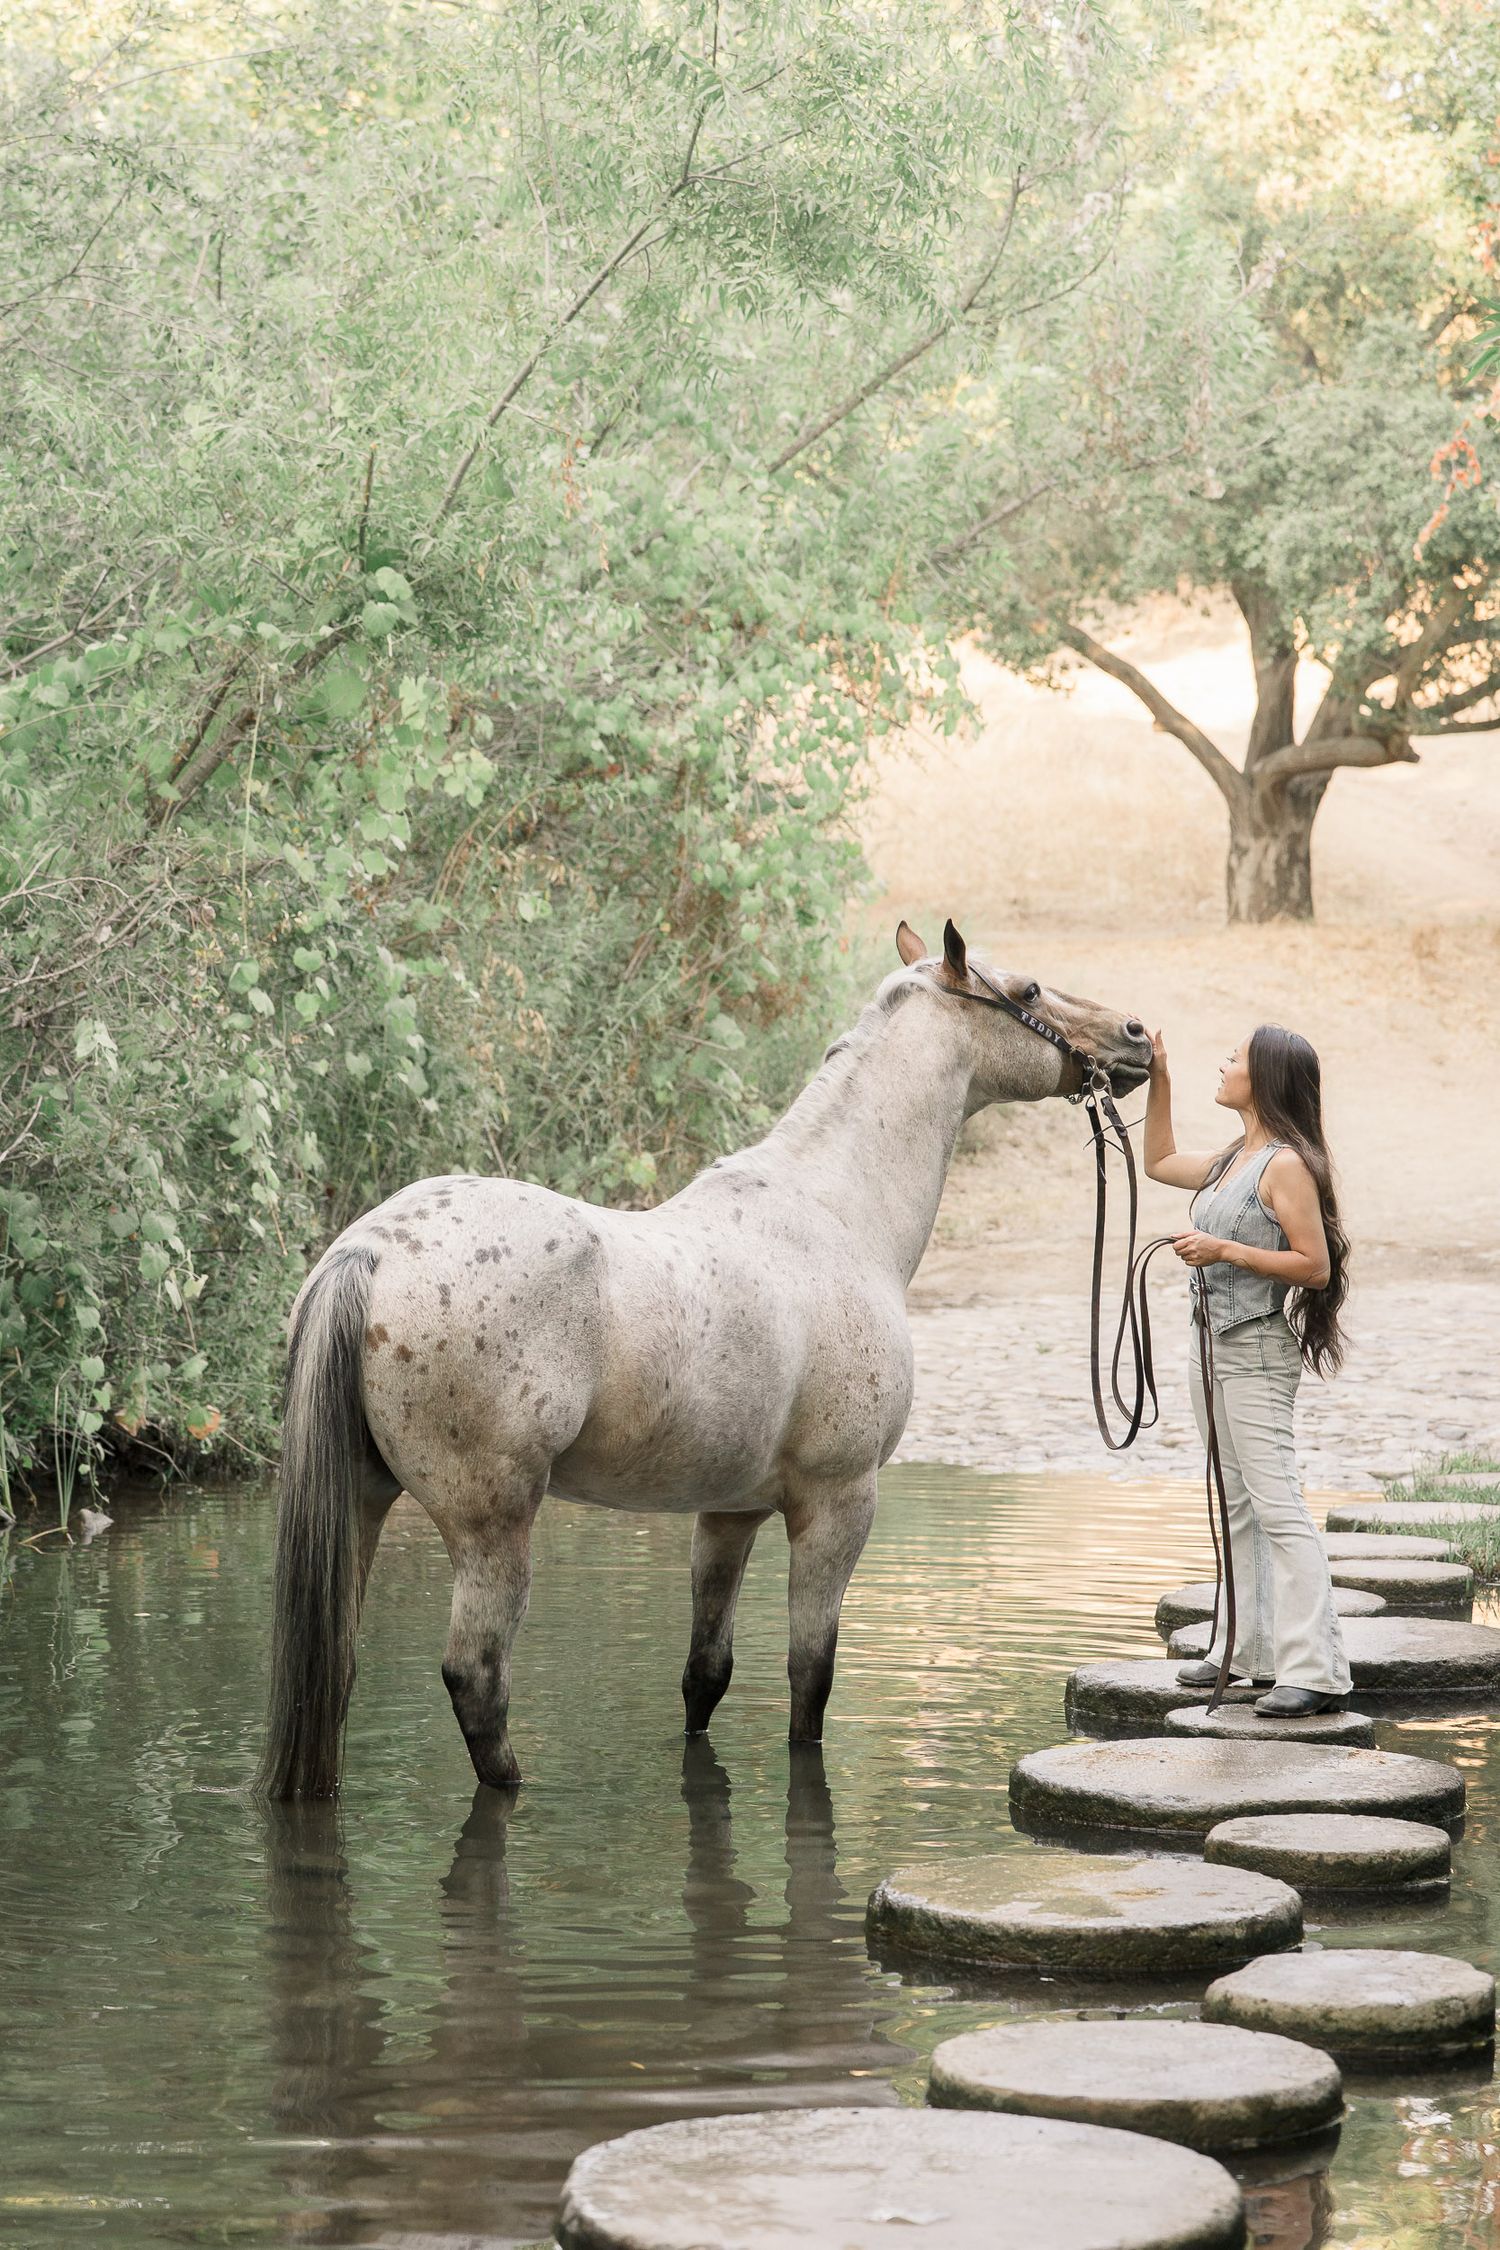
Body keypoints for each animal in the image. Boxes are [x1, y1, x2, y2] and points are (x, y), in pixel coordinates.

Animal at [256, 919, 1151, 1798]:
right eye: (1029, 989)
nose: (1137, 1037)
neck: (836, 1214)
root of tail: (372, 1251)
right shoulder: (837, 1504)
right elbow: (809, 1679)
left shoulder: (729, 1512)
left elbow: (705, 1675)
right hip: (492, 1524)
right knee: (476, 1680)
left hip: (366, 1501)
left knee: (333, 1672)